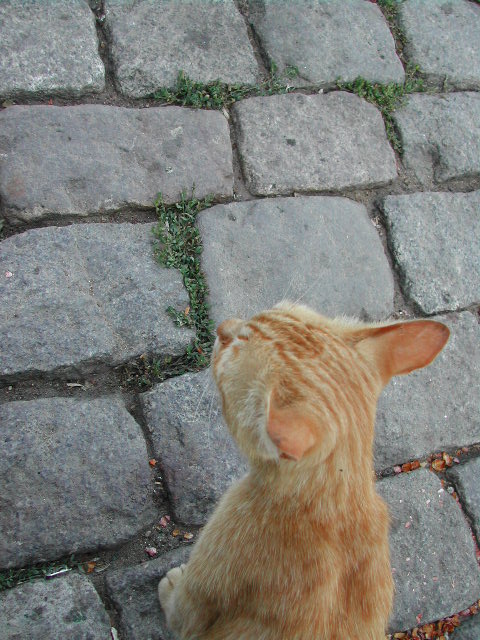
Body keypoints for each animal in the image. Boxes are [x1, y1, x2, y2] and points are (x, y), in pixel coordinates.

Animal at [158, 302, 450, 636]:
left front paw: (169, 586)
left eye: (237, 345)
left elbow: (181, 611)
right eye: (262, 314)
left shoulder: (201, 591)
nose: (222, 327)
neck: (338, 499)